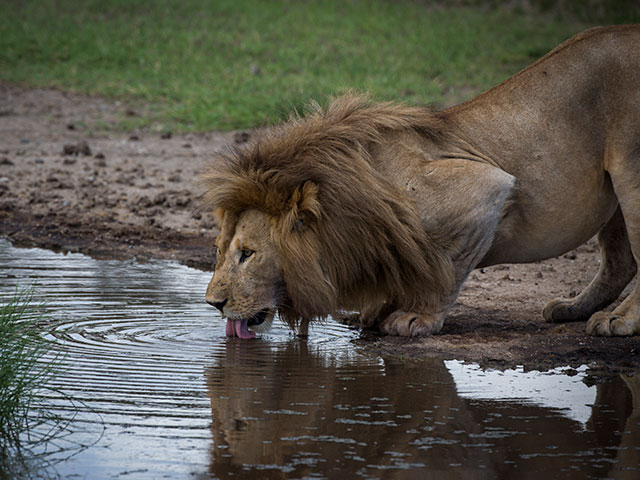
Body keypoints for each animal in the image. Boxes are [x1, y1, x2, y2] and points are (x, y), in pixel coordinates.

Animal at [202, 25, 640, 338]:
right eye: (219, 250)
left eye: (248, 254)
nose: (213, 304)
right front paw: (380, 308)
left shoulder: (485, 188)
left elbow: (445, 269)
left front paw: (418, 317)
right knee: (621, 262)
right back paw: (573, 309)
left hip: (631, 173)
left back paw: (618, 320)